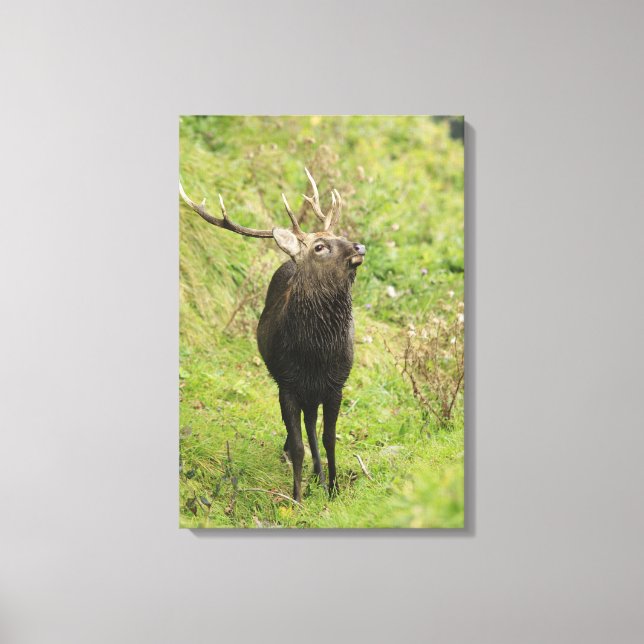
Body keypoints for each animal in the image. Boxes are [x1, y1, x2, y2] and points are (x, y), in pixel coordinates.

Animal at [179, 168, 366, 503]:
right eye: (320, 247)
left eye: (340, 236)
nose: (359, 247)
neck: (315, 354)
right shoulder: (287, 383)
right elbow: (299, 444)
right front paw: (297, 498)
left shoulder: (337, 384)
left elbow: (330, 439)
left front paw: (333, 490)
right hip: (295, 387)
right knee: (305, 428)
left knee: (312, 425)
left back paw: (320, 477)